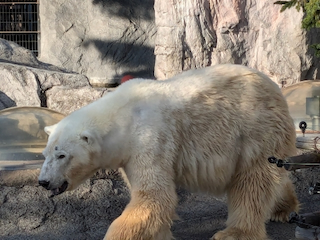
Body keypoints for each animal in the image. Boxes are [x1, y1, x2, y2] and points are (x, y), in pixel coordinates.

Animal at [38, 64, 300, 240]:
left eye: (62, 155)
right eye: (45, 154)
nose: (43, 181)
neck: (123, 116)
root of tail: (274, 87)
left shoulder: (149, 137)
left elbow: (154, 195)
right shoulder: (128, 154)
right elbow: (150, 200)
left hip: (254, 129)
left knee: (253, 181)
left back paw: (234, 232)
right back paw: (283, 208)